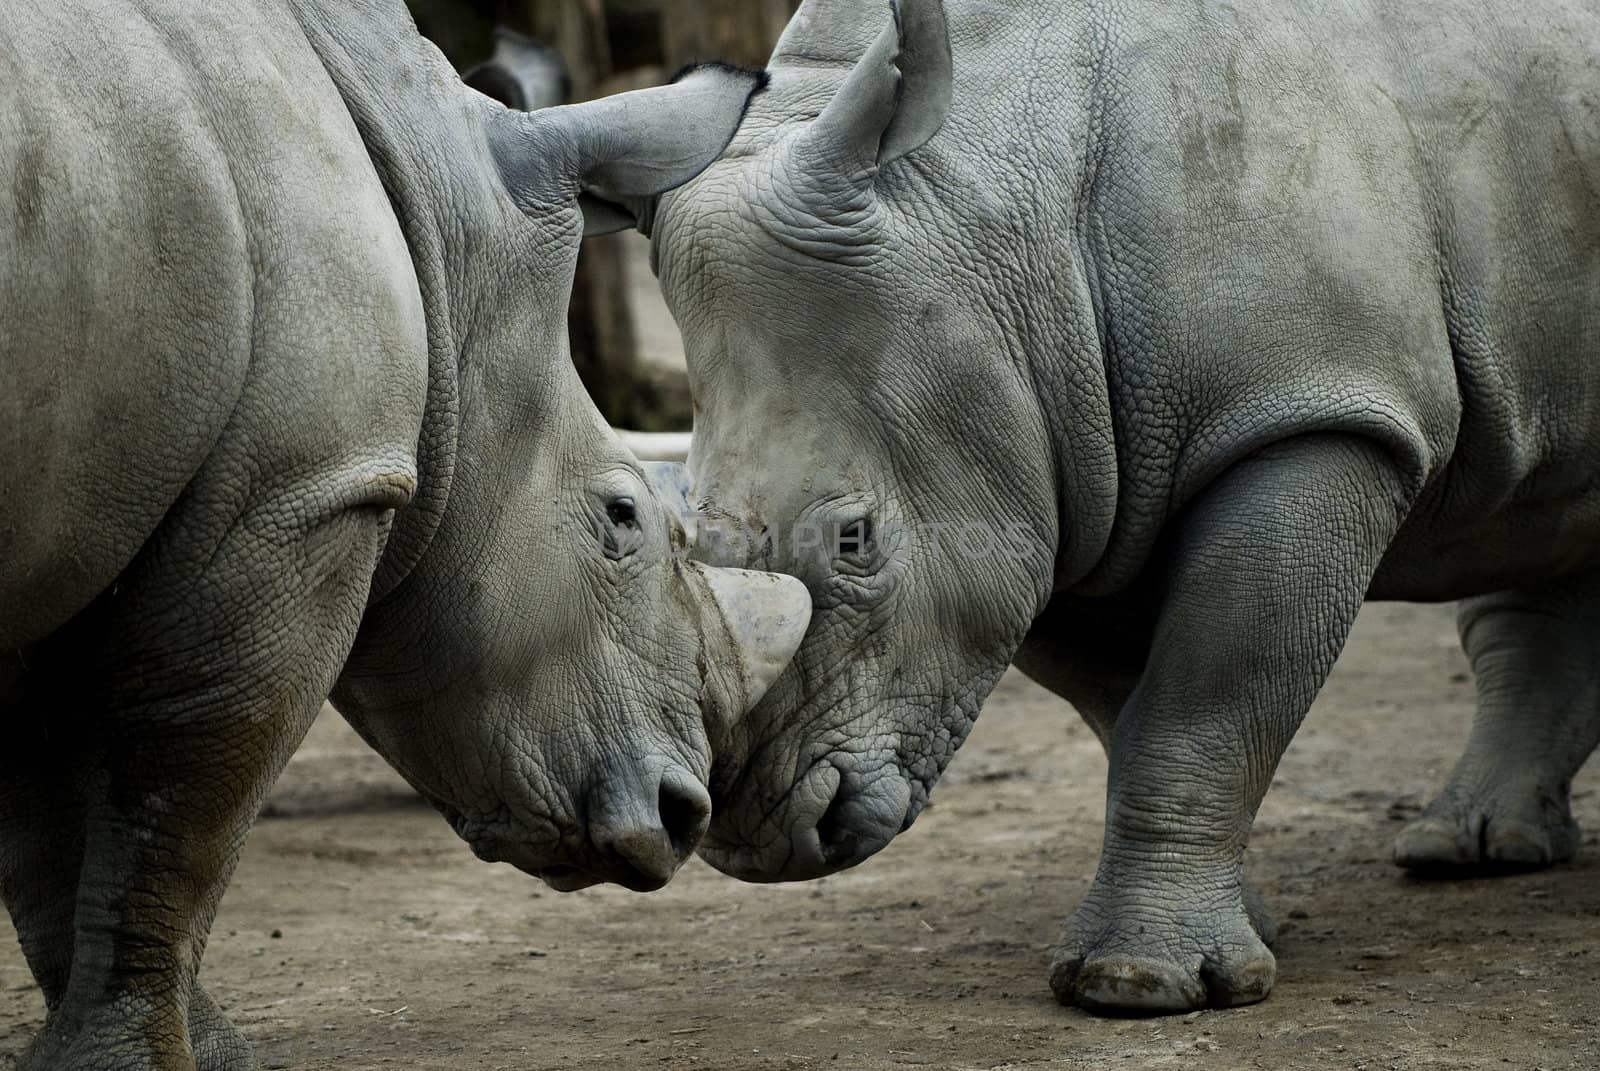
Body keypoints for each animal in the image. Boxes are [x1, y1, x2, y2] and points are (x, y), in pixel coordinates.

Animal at [0, 2, 812, 1069]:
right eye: (621, 519)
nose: (687, 814)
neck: (440, 219)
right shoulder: (304, 489)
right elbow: (179, 800)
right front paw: (142, 1055)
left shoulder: (78, 507)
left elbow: (49, 825)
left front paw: (174, 1049)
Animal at [646, 0, 1600, 1011]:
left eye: (856, 540)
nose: (757, 836)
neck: (999, 207)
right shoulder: (1055, 475)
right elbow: (1128, 705)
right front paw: (1235, 935)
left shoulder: (1311, 414)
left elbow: (1204, 699)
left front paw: (1134, 985)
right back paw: (1474, 851)